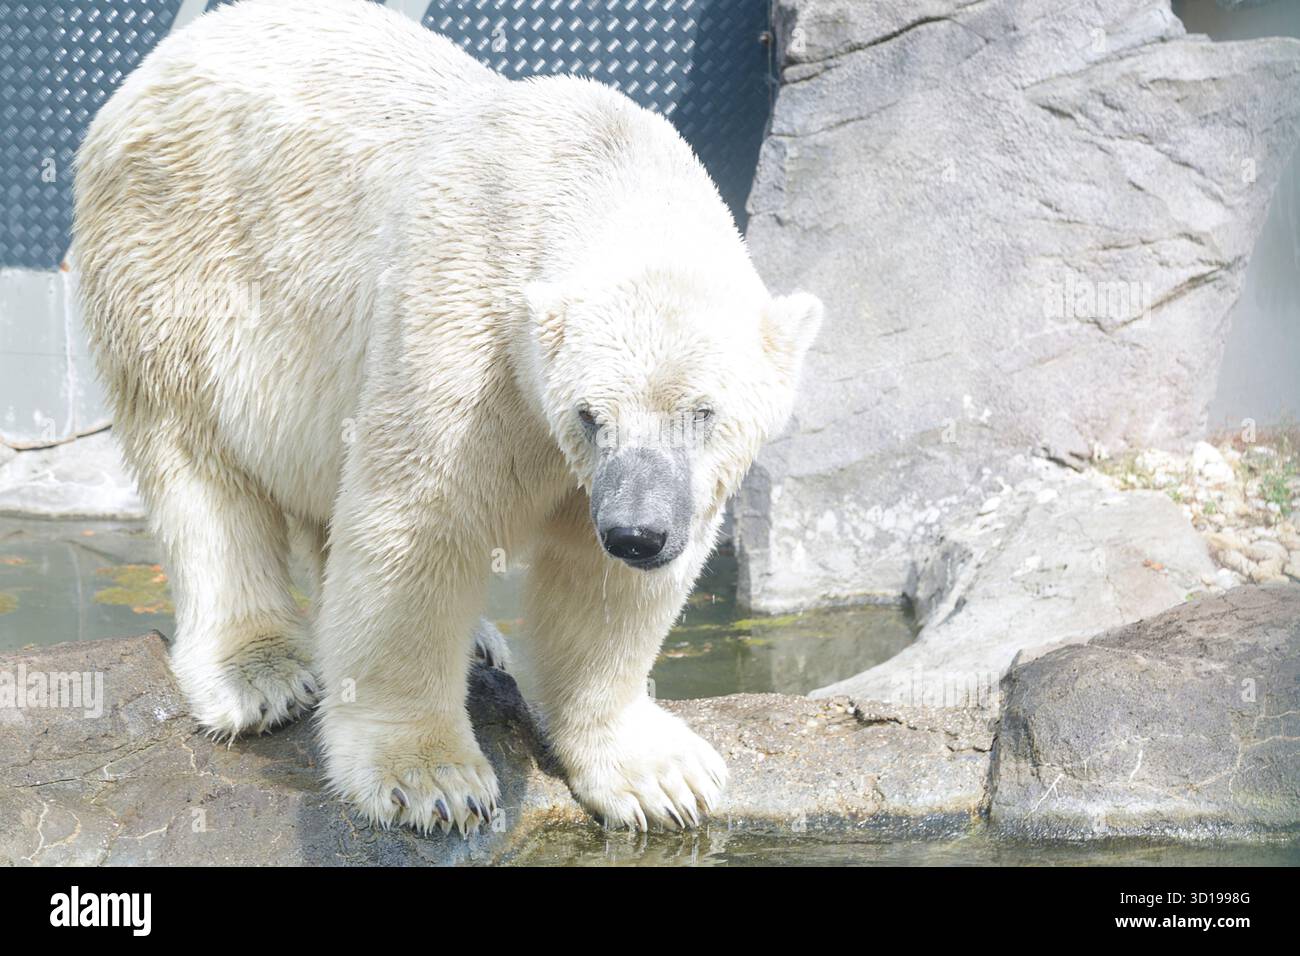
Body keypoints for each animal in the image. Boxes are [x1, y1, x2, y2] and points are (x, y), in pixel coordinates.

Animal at [74, 0, 822, 834]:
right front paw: (432, 780)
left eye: (703, 413)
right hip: (176, 267)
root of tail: (164, 57)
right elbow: (418, 528)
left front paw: (662, 777)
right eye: (591, 416)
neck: (592, 163)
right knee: (200, 468)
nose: (637, 533)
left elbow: (600, 587)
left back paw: (478, 644)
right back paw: (260, 670)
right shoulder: (466, 334)